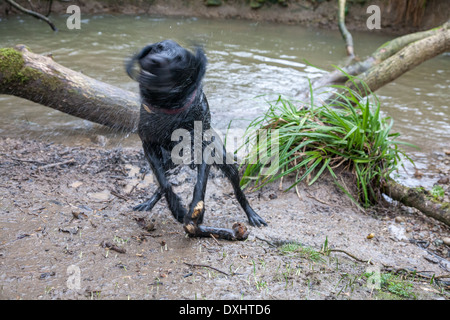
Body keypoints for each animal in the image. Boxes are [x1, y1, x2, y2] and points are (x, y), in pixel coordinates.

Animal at [125, 40, 268, 239]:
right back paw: (150, 202)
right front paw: (177, 208)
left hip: (226, 162)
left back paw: (252, 215)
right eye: (157, 47)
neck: (168, 107)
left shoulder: (204, 149)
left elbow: (200, 184)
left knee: (239, 192)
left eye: (179, 59)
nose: (155, 61)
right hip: (168, 161)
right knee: (162, 181)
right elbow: (163, 182)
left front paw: (195, 212)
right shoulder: (149, 146)